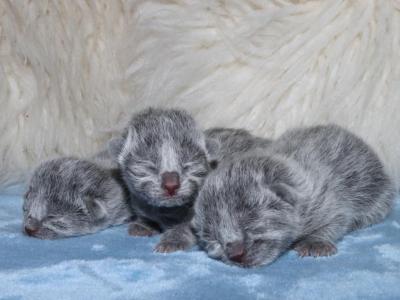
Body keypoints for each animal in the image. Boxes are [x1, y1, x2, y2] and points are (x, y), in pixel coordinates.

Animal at [115, 108, 208, 253]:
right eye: (149, 167)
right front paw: (143, 225)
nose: (171, 185)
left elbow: (185, 227)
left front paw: (172, 241)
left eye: (187, 166)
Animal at [193, 124, 394, 268]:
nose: (235, 254)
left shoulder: (328, 201)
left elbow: (334, 222)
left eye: (250, 217)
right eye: (213, 239)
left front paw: (315, 243)